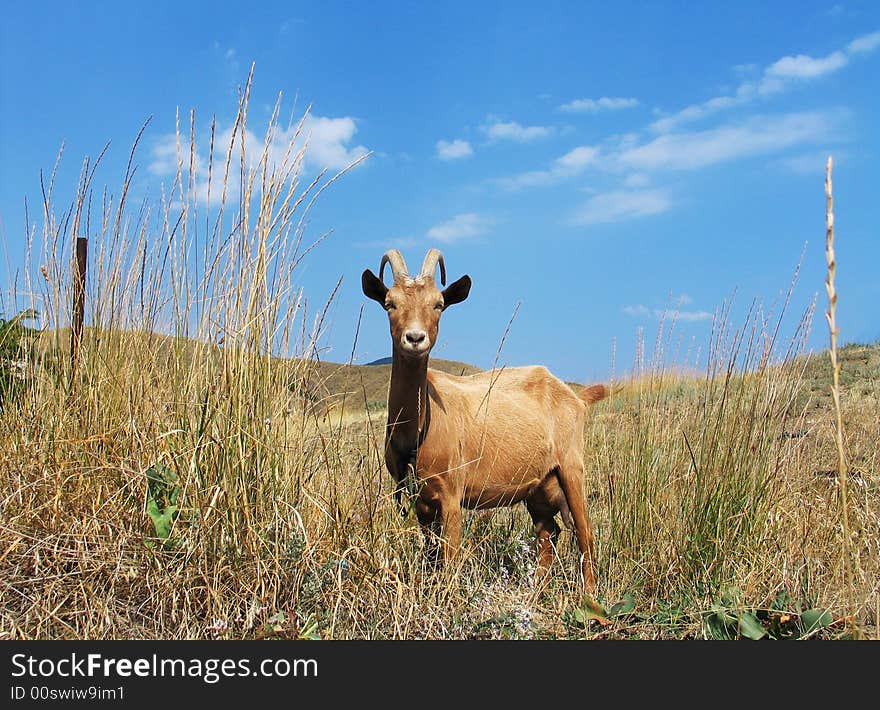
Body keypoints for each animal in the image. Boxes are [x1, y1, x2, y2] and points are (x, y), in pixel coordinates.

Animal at [360, 248, 608, 592]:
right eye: (390, 303)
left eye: (438, 304)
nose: (415, 338)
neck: (420, 427)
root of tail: (576, 397)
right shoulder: (417, 500)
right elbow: (431, 556)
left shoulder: (451, 494)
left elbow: (449, 561)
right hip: (539, 484)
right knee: (549, 532)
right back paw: (536, 593)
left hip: (571, 466)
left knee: (585, 531)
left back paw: (589, 596)